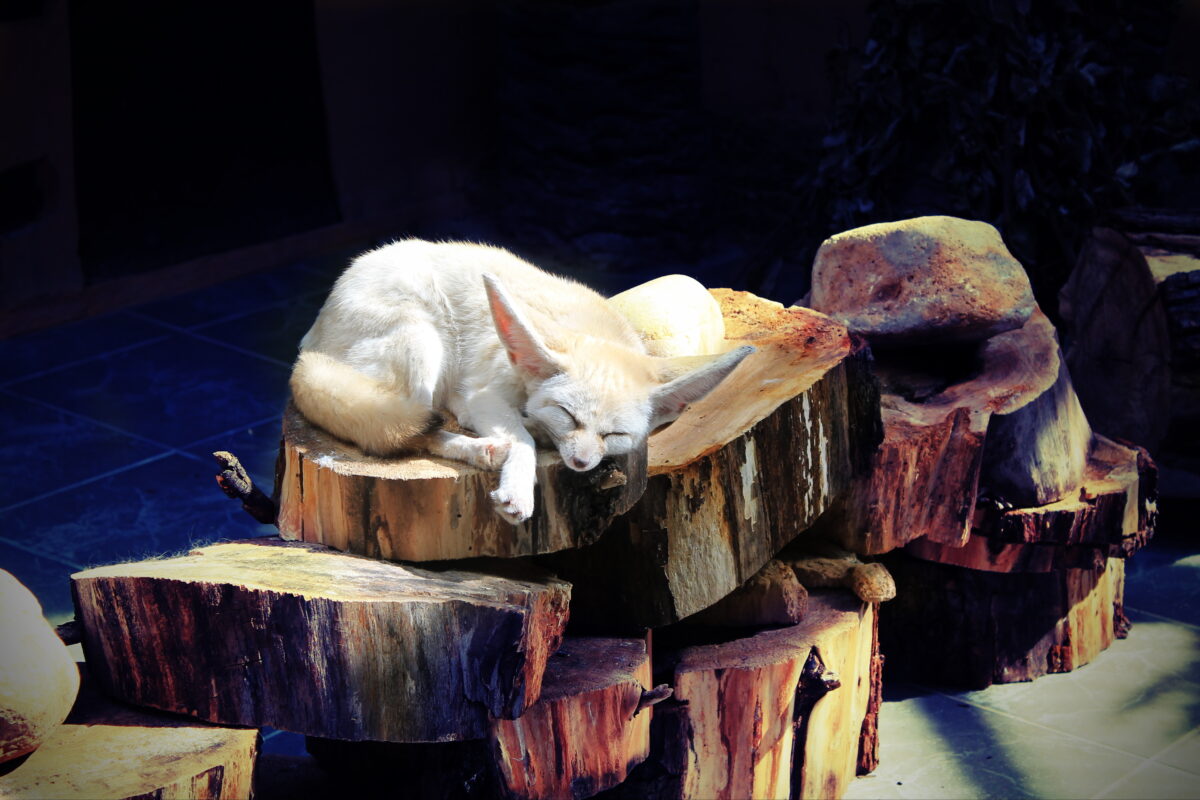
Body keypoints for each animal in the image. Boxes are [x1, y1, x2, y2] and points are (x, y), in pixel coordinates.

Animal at [290, 239, 754, 524]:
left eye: (614, 435)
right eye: (568, 415)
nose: (581, 463)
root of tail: (307, 347)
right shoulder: (482, 396)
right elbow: (523, 440)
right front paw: (517, 488)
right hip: (423, 343)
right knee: (405, 431)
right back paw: (477, 449)